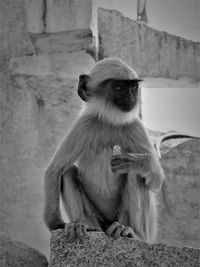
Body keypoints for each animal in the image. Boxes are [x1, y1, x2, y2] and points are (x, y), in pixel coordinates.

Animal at [43, 57, 164, 244]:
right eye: (119, 87)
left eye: (132, 87)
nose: (131, 97)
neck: (111, 122)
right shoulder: (85, 124)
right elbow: (55, 169)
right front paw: (56, 224)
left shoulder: (135, 127)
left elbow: (156, 181)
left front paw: (135, 161)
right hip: (97, 216)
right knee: (68, 171)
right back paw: (85, 225)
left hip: (129, 221)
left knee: (135, 174)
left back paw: (132, 233)